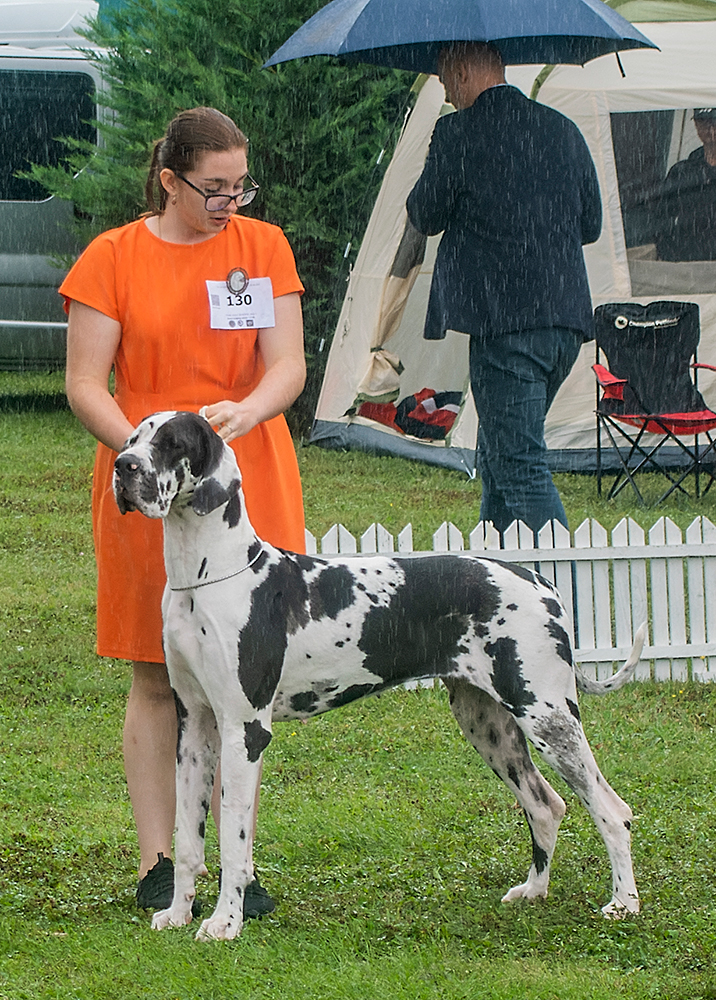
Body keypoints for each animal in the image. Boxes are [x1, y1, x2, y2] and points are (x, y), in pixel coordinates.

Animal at [113, 411, 644, 941]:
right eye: (134, 438)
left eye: (171, 443)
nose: (123, 467)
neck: (205, 577)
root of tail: (541, 582)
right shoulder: (194, 727)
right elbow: (188, 838)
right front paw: (178, 914)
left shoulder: (245, 730)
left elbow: (233, 842)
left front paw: (225, 922)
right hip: (488, 724)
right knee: (545, 806)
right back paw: (534, 891)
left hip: (548, 718)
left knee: (612, 810)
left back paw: (623, 903)